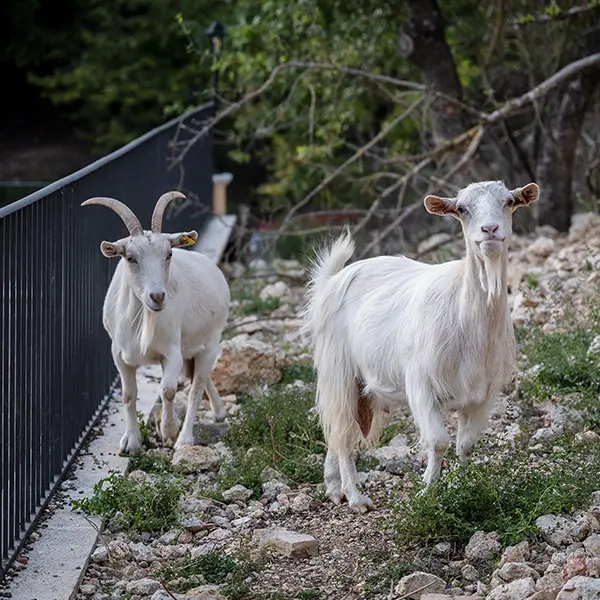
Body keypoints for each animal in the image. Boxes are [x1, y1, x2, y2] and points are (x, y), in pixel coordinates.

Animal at [81, 190, 229, 452]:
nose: (157, 296)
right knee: (197, 377)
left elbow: (168, 390)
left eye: (168, 254)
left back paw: (185, 439)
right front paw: (130, 442)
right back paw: (219, 411)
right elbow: (128, 395)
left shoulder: (172, 352)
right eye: (130, 258)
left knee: (196, 387)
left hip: (211, 342)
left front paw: (168, 430)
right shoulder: (119, 355)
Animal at [302, 179, 540, 510]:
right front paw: (428, 490)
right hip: (338, 371)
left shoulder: (483, 394)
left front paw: (463, 487)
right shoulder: (420, 384)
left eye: (508, 202)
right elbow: (438, 441)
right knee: (342, 432)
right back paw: (355, 496)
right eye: (462, 209)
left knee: (337, 432)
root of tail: (332, 280)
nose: (490, 230)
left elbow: (466, 444)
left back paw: (334, 487)